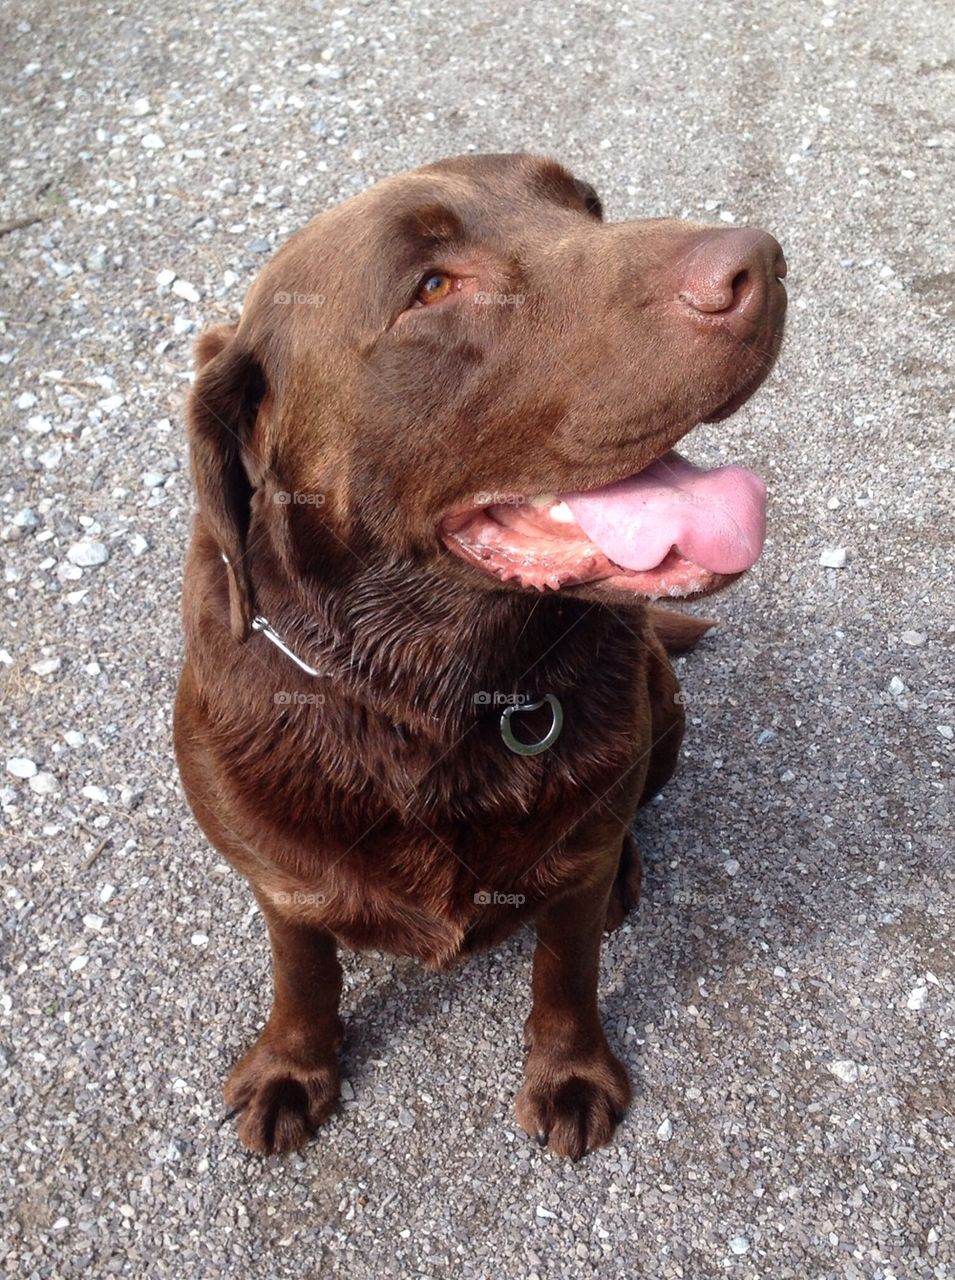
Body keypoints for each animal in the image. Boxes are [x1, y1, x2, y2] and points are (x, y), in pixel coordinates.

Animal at [171, 152, 783, 1162]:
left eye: (585, 206)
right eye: (431, 287)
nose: (760, 263)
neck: (431, 696)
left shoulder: (571, 878)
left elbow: (566, 970)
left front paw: (570, 1073)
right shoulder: (278, 882)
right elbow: (303, 970)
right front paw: (293, 1066)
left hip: (661, 716)